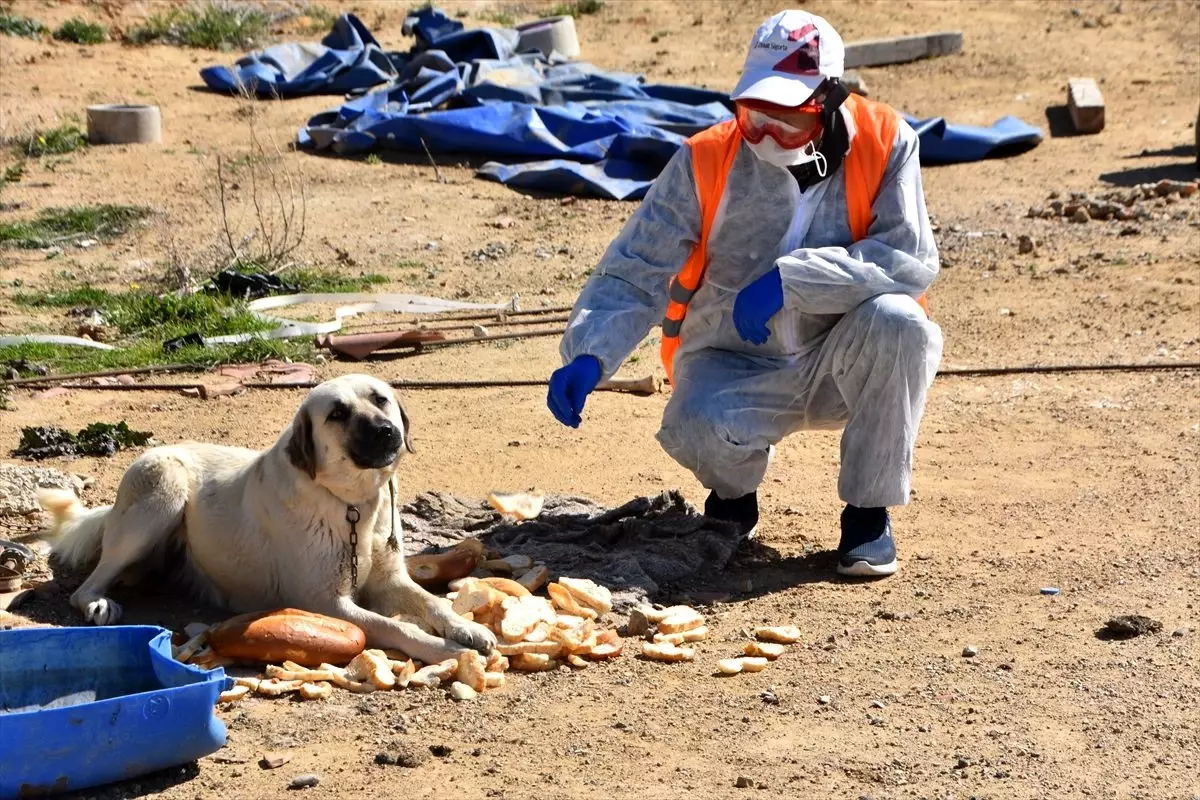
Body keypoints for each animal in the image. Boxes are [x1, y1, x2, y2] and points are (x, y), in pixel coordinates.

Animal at [38, 374, 496, 662]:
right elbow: (399, 628)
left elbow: (432, 603)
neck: (353, 504)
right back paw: (97, 602)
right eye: (337, 414)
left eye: (380, 399)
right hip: (162, 489)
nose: (388, 431)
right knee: (86, 586)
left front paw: (466, 629)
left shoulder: (389, 581)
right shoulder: (326, 603)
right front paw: (447, 650)